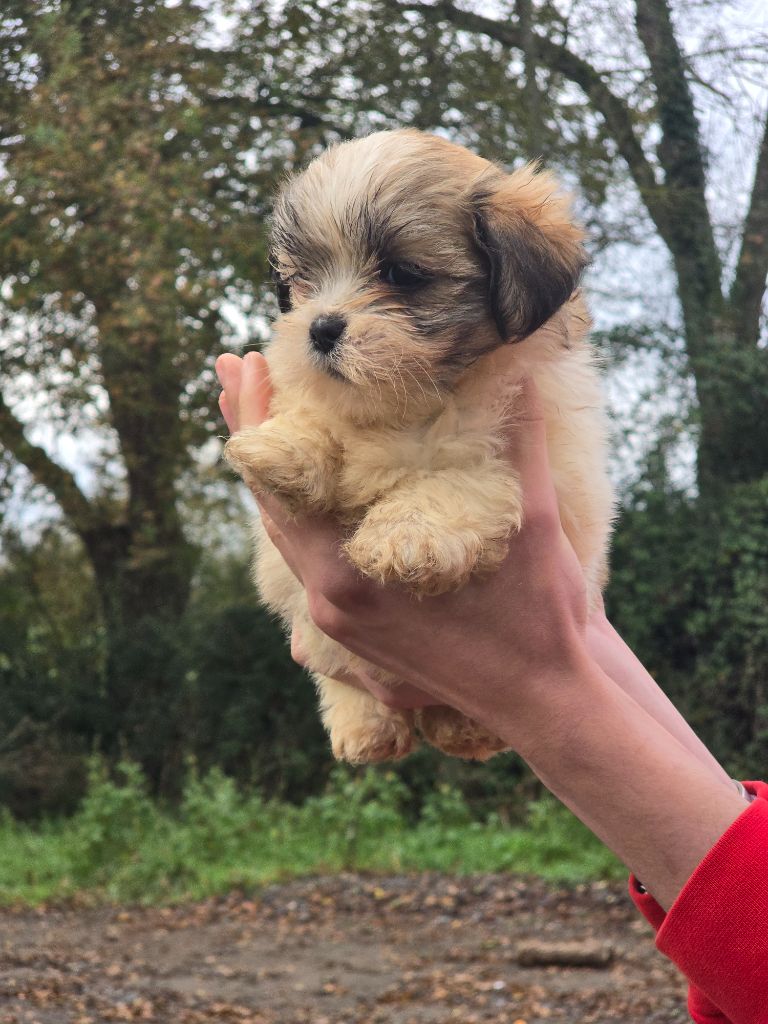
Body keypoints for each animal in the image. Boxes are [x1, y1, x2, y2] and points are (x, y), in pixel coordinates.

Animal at [225, 128, 618, 765]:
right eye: (302, 280)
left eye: (402, 274)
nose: (321, 328)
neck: (405, 405)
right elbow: (313, 415)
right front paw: (280, 451)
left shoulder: (519, 451)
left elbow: (457, 476)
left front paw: (406, 538)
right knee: (341, 677)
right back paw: (366, 729)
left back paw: (463, 729)